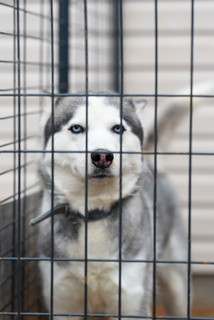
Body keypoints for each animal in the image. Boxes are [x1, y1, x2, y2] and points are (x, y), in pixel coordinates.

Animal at [34, 91, 192, 318]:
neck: (93, 213)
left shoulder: (132, 302)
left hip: (178, 287)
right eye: (76, 128)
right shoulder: (62, 301)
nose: (102, 156)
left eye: (118, 128)